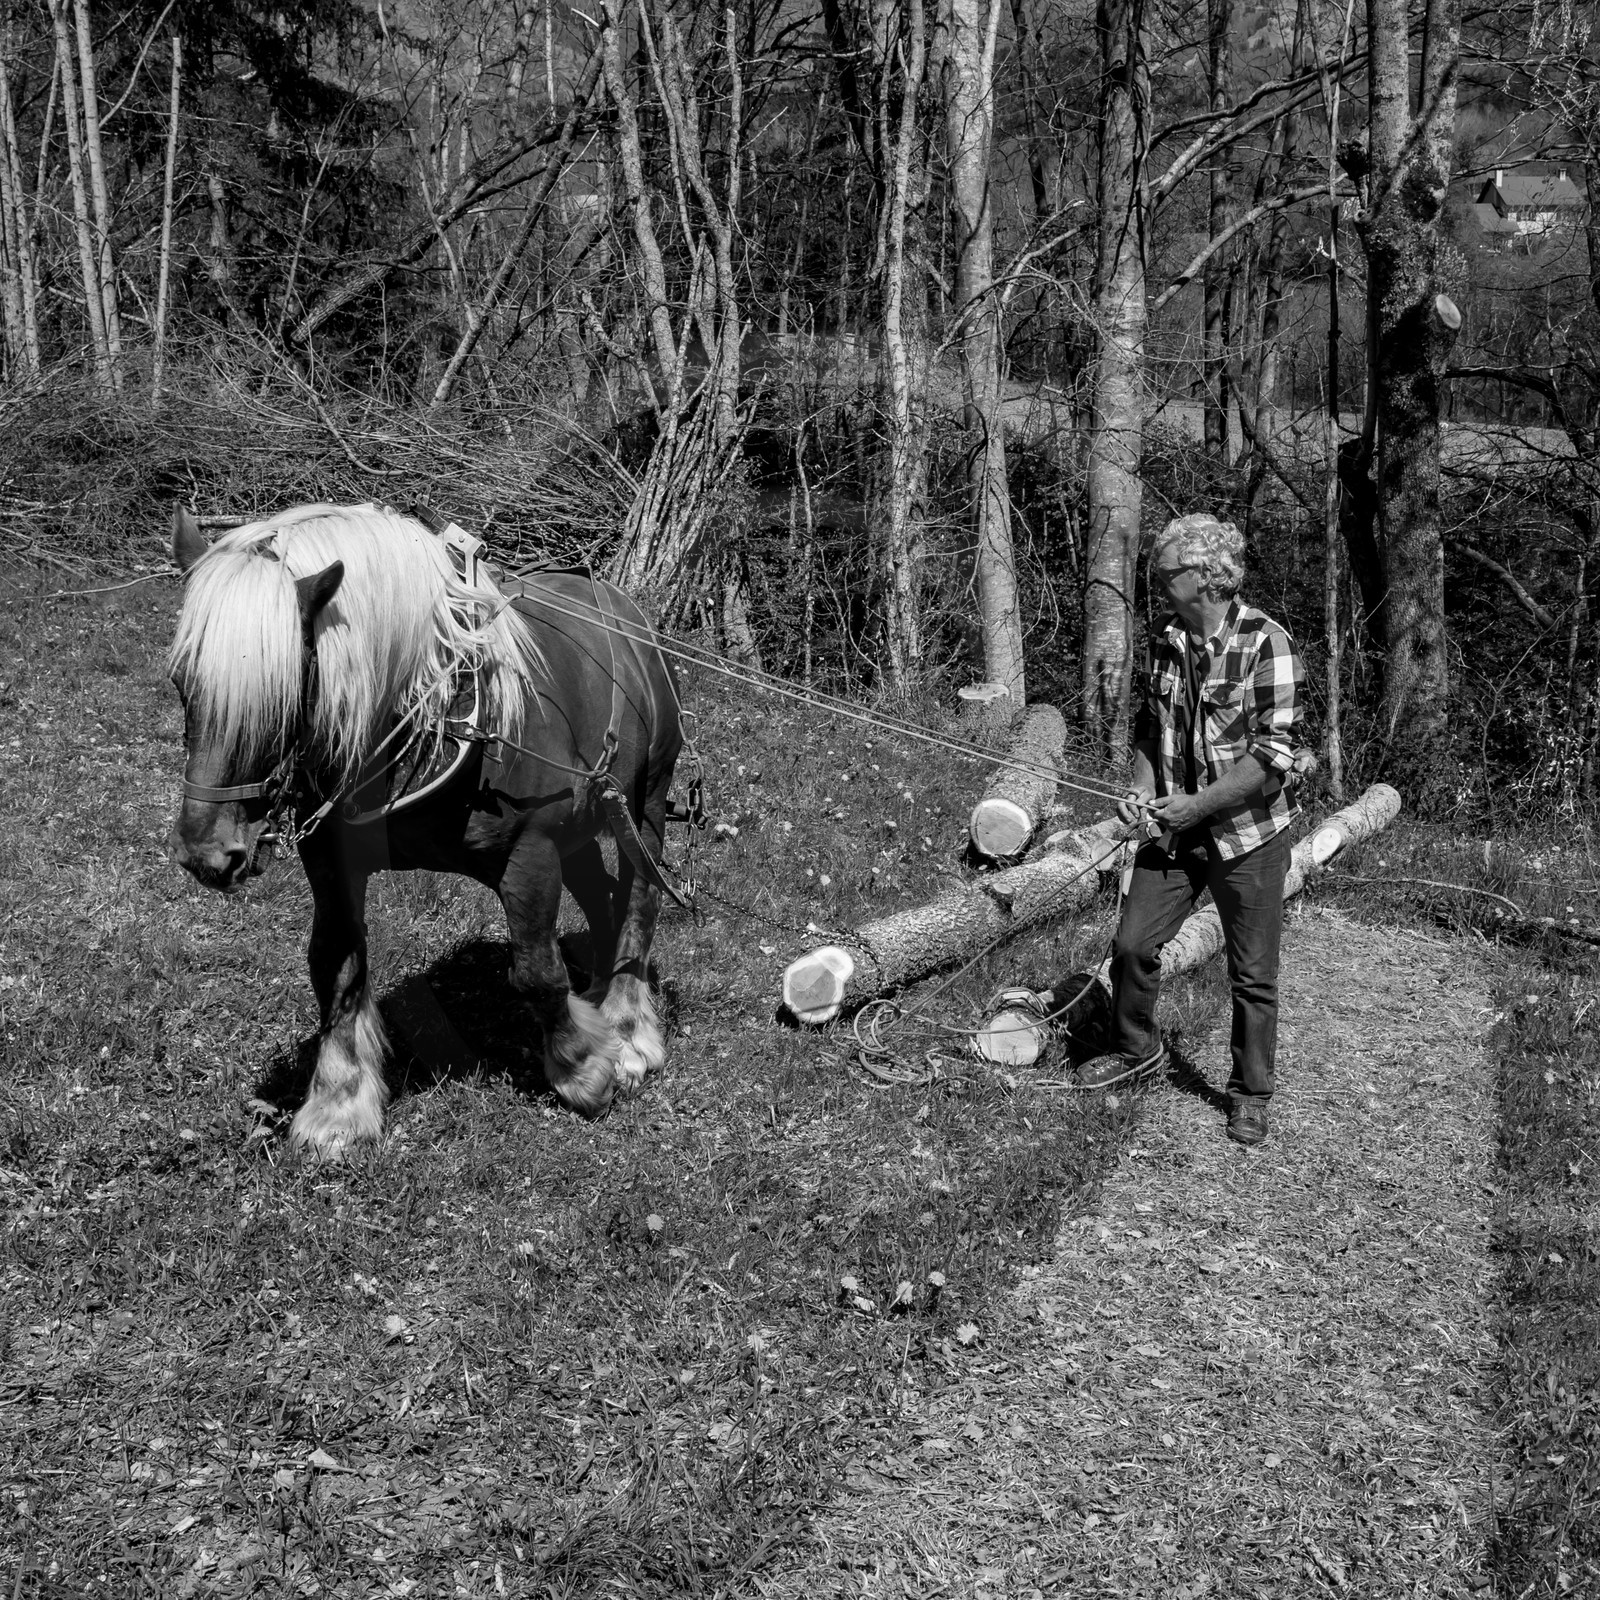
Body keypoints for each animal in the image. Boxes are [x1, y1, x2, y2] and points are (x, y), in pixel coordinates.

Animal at [165, 502, 682, 1154]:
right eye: (181, 683)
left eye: (283, 694)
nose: (207, 854)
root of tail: (629, 614)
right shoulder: (333, 862)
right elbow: (335, 965)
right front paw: (339, 1104)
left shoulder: (530, 854)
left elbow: (536, 972)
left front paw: (584, 1069)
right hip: (585, 822)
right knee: (603, 898)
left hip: (644, 804)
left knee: (638, 901)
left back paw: (629, 1029)